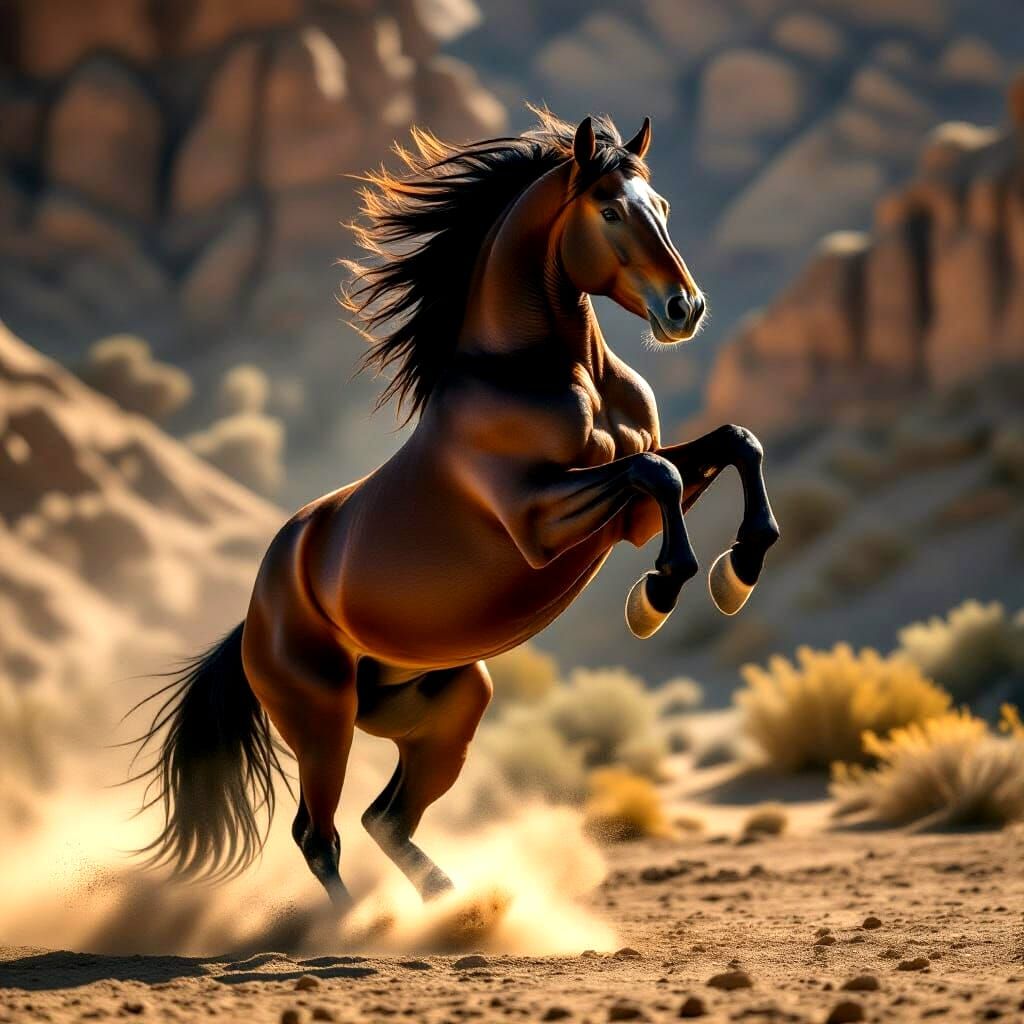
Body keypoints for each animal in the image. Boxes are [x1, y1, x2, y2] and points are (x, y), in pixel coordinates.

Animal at [135, 109, 779, 910]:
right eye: (609, 210)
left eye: (658, 206)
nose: (683, 309)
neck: (552, 372)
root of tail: (255, 617)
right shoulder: (540, 524)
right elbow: (655, 471)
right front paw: (657, 595)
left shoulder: (628, 516)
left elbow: (734, 443)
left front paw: (737, 571)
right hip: (322, 720)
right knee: (320, 835)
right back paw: (370, 926)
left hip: (451, 704)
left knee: (384, 818)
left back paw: (458, 907)